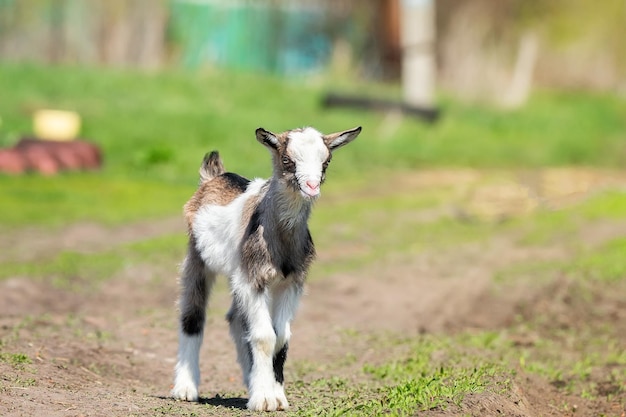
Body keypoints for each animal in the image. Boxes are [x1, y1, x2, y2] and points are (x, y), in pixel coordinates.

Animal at [171, 124, 360, 410]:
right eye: (287, 160)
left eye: (326, 161)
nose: (312, 186)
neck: (278, 236)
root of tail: (214, 177)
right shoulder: (254, 279)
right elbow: (264, 336)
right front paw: (263, 399)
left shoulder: (291, 282)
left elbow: (281, 337)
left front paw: (276, 395)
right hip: (198, 257)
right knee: (192, 316)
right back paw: (185, 389)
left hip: (237, 274)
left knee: (236, 319)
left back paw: (250, 381)